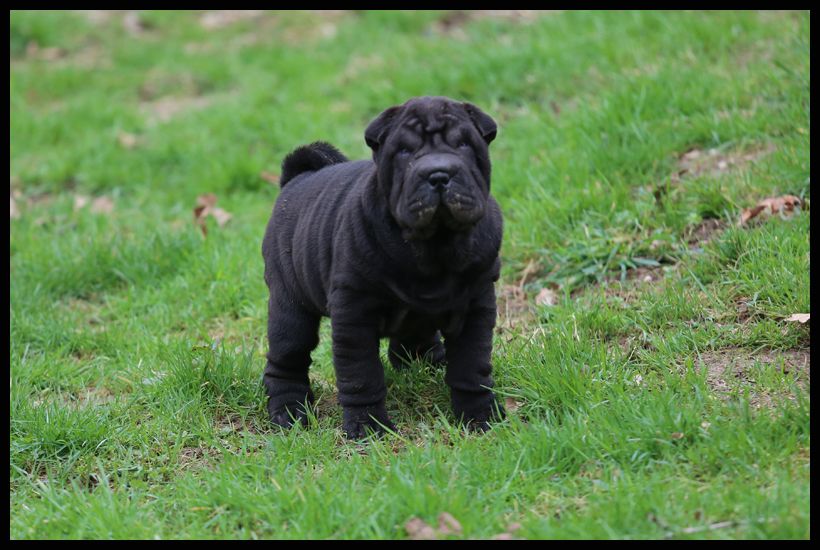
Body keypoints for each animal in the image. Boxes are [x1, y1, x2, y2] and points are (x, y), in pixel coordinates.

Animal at [261, 96, 504, 438]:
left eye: (464, 145)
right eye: (403, 151)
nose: (438, 174)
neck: (435, 246)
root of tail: (295, 180)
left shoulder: (475, 306)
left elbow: (472, 366)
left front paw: (480, 416)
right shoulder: (354, 315)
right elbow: (361, 375)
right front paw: (368, 427)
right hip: (290, 307)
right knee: (287, 359)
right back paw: (289, 413)